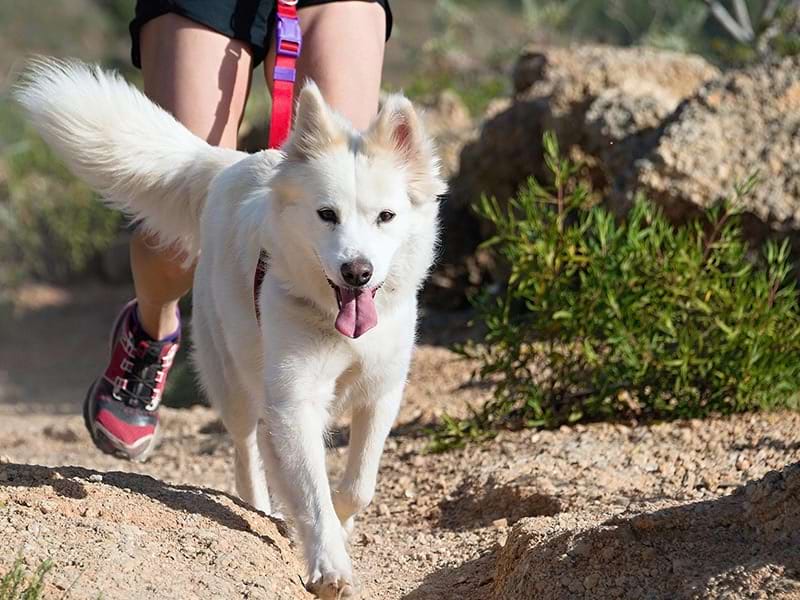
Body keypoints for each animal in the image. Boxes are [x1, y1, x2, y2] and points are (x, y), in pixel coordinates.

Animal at [15, 58, 446, 596]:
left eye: (386, 216)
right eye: (327, 215)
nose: (357, 272)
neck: (335, 322)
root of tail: (231, 164)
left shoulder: (380, 393)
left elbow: (356, 487)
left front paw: (339, 528)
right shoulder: (296, 398)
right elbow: (314, 488)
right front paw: (329, 565)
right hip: (233, 374)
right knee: (245, 447)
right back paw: (261, 505)